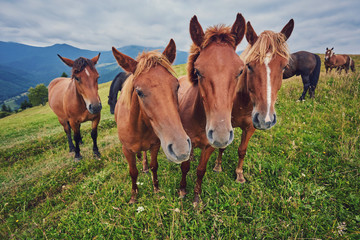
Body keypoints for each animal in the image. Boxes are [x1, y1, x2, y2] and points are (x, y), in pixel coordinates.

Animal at [112, 39, 191, 202]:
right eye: (139, 91)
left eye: (177, 86)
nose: (181, 149)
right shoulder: (126, 150)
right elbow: (132, 172)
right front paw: (133, 196)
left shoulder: (156, 145)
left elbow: (155, 166)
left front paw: (156, 189)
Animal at [178, 13, 246, 205]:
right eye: (197, 71)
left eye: (240, 71)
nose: (220, 136)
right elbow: (185, 167)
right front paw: (182, 191)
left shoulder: (209, 147)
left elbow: (201, 170)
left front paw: (197, 198)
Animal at [212, 19, 294, 184]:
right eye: (249, 65)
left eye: (284, 67)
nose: (265, 119)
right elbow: (222, 146)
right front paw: (218, 166)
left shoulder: (250, 127)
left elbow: (242, 150)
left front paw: (239, 174)